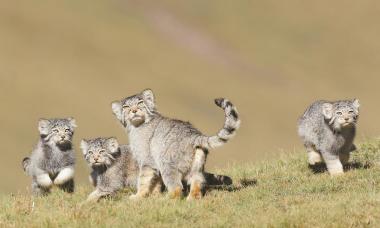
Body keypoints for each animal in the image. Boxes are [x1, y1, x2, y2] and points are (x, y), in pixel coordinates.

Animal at [111, 88, 240, 200]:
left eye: (140, 102)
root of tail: (194, 135)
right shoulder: (154, 163)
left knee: (177, 189)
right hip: (196, 168)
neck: (138, 126)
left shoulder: (147, 161)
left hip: (167, 164)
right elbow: (156, 182)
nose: (133, 110)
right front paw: (154, 195)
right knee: (197, 184)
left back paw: (165, 200)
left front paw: (137, 197)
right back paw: (191, 199)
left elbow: (143, 180)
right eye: (126, 107)